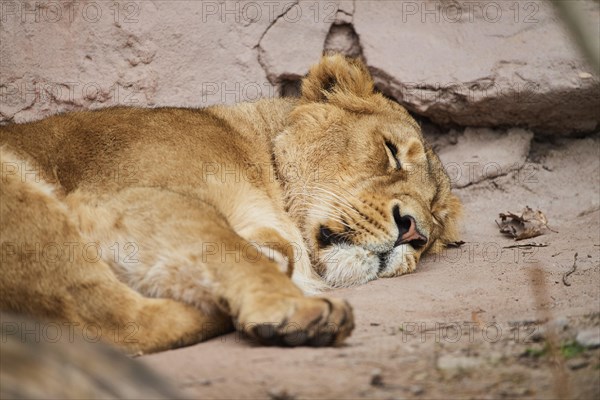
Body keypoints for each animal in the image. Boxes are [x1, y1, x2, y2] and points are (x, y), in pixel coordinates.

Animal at [0, 54, 462, 354]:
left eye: (436, 221)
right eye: (391, 152)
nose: (414, 231)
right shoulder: (124, 198)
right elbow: (230, 248)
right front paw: (290, 306)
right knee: (114, 322)